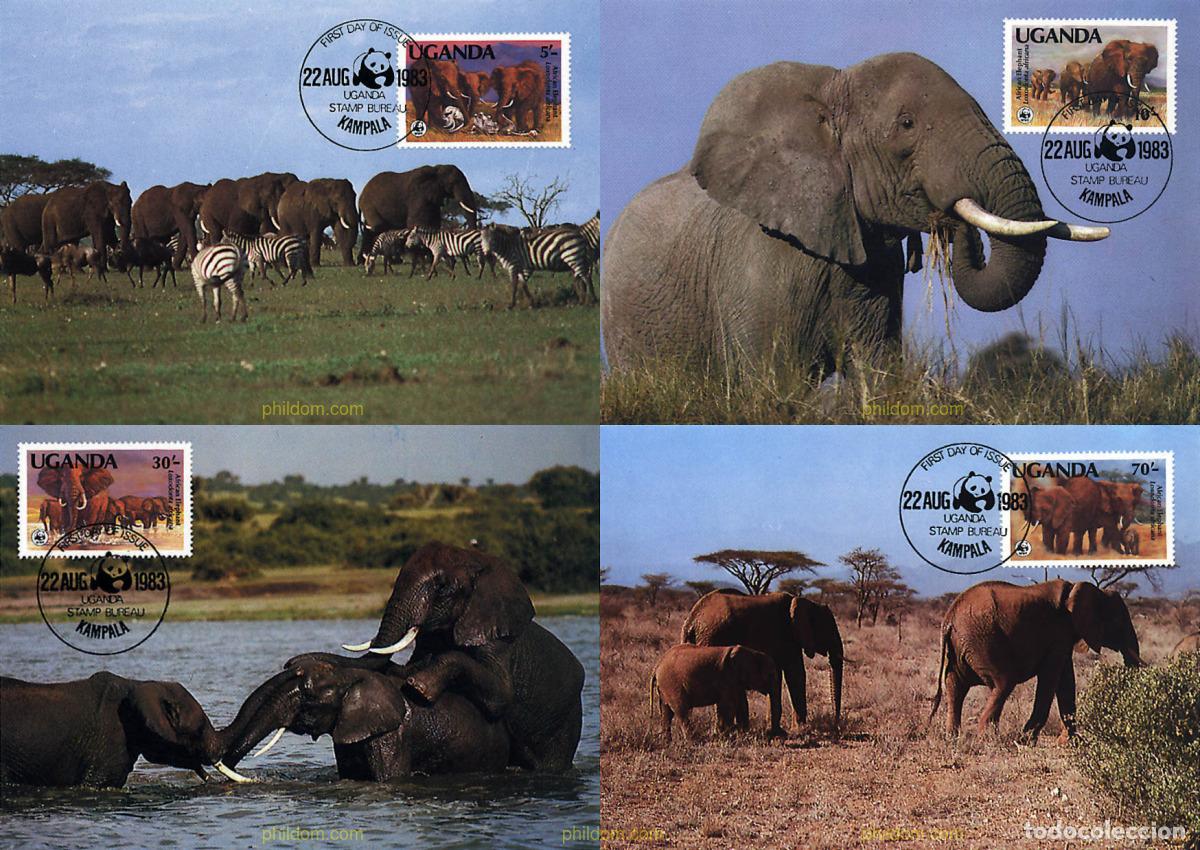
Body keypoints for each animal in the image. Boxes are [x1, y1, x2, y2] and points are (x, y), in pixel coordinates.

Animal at [601, 53, 1107, 378]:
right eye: (906, 124)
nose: (951, 221)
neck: (830, 90)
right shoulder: (756, 264)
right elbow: (769, 381)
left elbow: (878, 372)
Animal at [650, 644, 779, 741]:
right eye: (771, 674)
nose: (773, 735)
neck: (752, 653)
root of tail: (657, 666)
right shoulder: (726, 677)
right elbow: (728, 705)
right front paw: (727, 736)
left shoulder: (735, 681)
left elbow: (739, 703)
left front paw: (739, 734)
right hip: (671, 684)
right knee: (681, 711)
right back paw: (693, 741)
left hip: (665, 687)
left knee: (666, 712)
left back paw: (668, 742)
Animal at [680, 589, 843, 735]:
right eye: (828, 630)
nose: (836, 724)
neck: (803, 602)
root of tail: (690, 621)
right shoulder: (786, 636)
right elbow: (795, 674)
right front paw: (797, 730)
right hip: (714, 638)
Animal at [929, 579, 1142, 741]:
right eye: (1117, 622)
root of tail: (949, 619)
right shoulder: (1058, 632)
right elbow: (1051, 678)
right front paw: (1026, 740)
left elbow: (1066, 681)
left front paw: (1073, 743)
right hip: (983, 640)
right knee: (1004, 682)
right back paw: (989, 740)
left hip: (961, 647)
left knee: (955, 687)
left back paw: (953, 738)